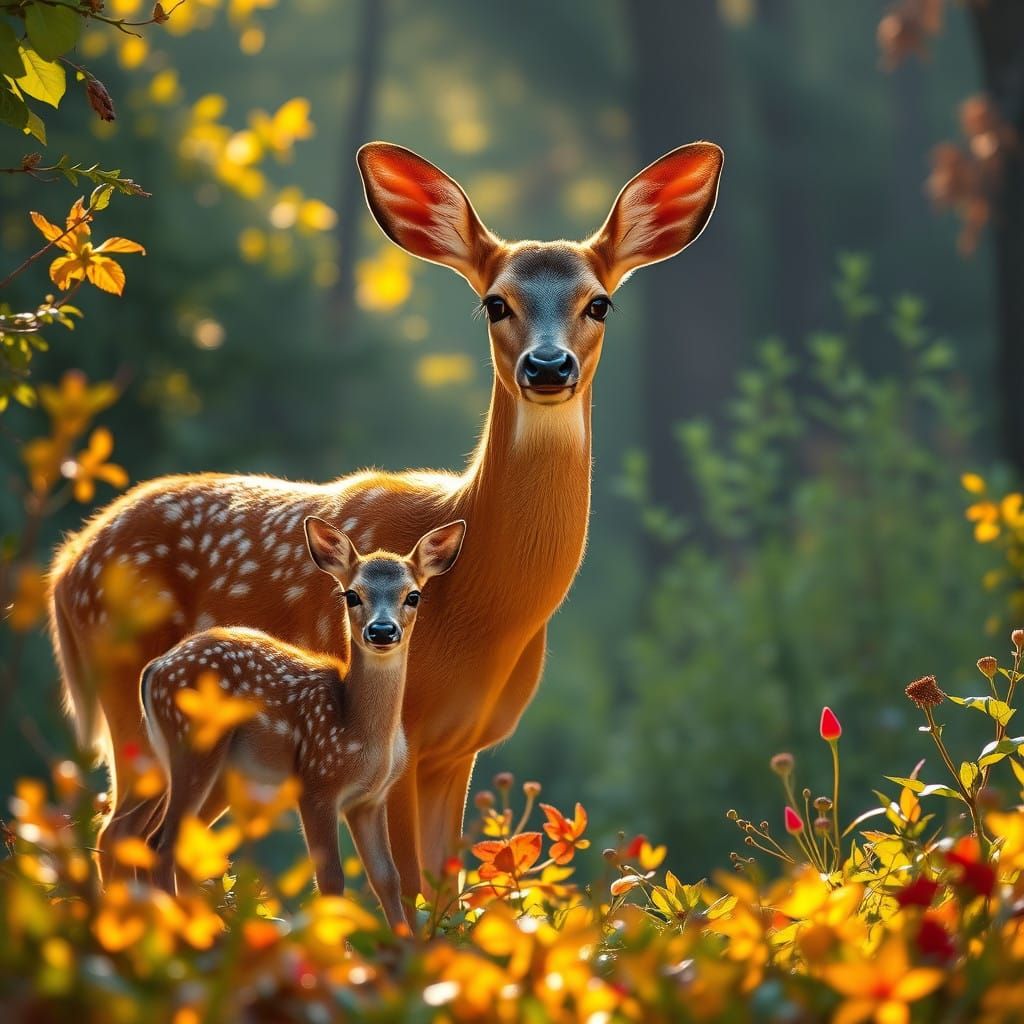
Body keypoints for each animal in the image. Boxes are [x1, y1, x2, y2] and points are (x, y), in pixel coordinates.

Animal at [140, 516, 465, 928]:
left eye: (414, 596)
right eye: (351, 595)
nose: (381, 631)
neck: (359, 732)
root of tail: (155, 668)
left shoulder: (370, 799)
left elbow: (388, 880)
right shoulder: (316, 781)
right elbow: (330, 879)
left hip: (216, 771)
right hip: (193, 744)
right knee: (161, 842)